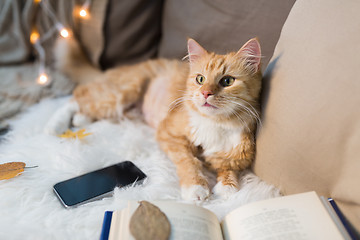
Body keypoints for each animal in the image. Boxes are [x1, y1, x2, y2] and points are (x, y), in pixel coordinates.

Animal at [47, 37, 262, 201]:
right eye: (200, 79)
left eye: (227, 81)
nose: (206, 93)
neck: (215, 123)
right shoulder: (170, 134)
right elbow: (189, 162)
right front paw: (196, 188)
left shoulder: (237, 155)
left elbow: (228, 168)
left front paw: (227, 186)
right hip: (120, 93)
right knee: (76, 98)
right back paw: (54, 126)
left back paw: (80, 120)